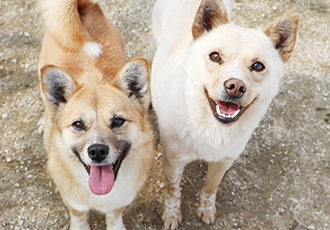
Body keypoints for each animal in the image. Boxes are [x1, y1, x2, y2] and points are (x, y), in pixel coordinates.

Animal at [148, 0, 298, 229]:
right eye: (215, 56)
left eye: (258, 66)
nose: (235, 87)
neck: (212, 128)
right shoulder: (173, 161)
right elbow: (173, 190)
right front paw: (172, 214)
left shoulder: (224, 161)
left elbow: (211, 186)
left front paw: (206, 209)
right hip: (153, 43)